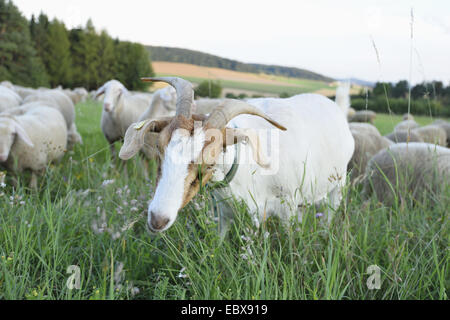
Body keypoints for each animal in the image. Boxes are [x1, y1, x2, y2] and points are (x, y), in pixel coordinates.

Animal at [118, 77, 356, 232]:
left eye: (209, 163)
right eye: (160, 151)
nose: (157, 219)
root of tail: (337, 107)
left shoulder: (285, 207)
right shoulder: (226, 212)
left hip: (338, 185)